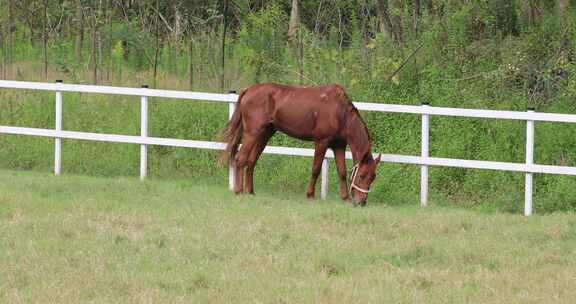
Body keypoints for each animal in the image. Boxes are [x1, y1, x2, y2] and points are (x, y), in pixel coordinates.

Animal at [223, 83, 380, 205]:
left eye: (373, 177)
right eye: (361, 176)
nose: (362, 202)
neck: (340, 113)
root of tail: (248, 89)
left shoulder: (338, 146)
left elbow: (341, 171)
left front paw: (345, 198)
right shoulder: (321, 142)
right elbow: (316, 169)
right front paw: (310, 195)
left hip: (264, 134)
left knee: (251, 161)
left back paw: (250, 192)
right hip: (252, 133)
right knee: (240, 159)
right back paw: (239, 191)